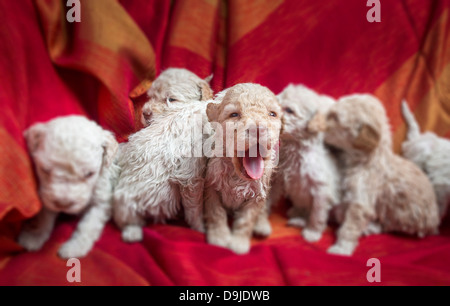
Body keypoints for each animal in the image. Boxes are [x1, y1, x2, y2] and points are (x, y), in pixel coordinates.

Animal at [18, 116, 119, 260]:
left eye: (89, 174)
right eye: (45, 170)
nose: (63, 204)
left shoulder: (102, 201)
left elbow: (88, 225)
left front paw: (75, 247)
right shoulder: (47, 196)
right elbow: (44, 217)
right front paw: (34, 235)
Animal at [204, 82, 282, 255]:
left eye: (272, 114)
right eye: (234, 114)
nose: (258, 129)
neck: (238, 176)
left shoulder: (258, 195)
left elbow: (247, 219)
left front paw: (239, 243)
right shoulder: (211, 186)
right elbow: (216, 213)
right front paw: (219, 237)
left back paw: (262, 225)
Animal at [270, 83, 342, 241]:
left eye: (289, 110)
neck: (295, 148)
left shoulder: (321, 190)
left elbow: (317, 214)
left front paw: (312, 232)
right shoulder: (278, 180)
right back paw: (296, 215)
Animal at [324, 94, 440, 256]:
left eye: (334, 117)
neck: (368, 158)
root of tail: (435, 224)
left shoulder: (362, 200)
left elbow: (350, 226)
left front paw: (341, 248)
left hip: (401, 217)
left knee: (387, 226)